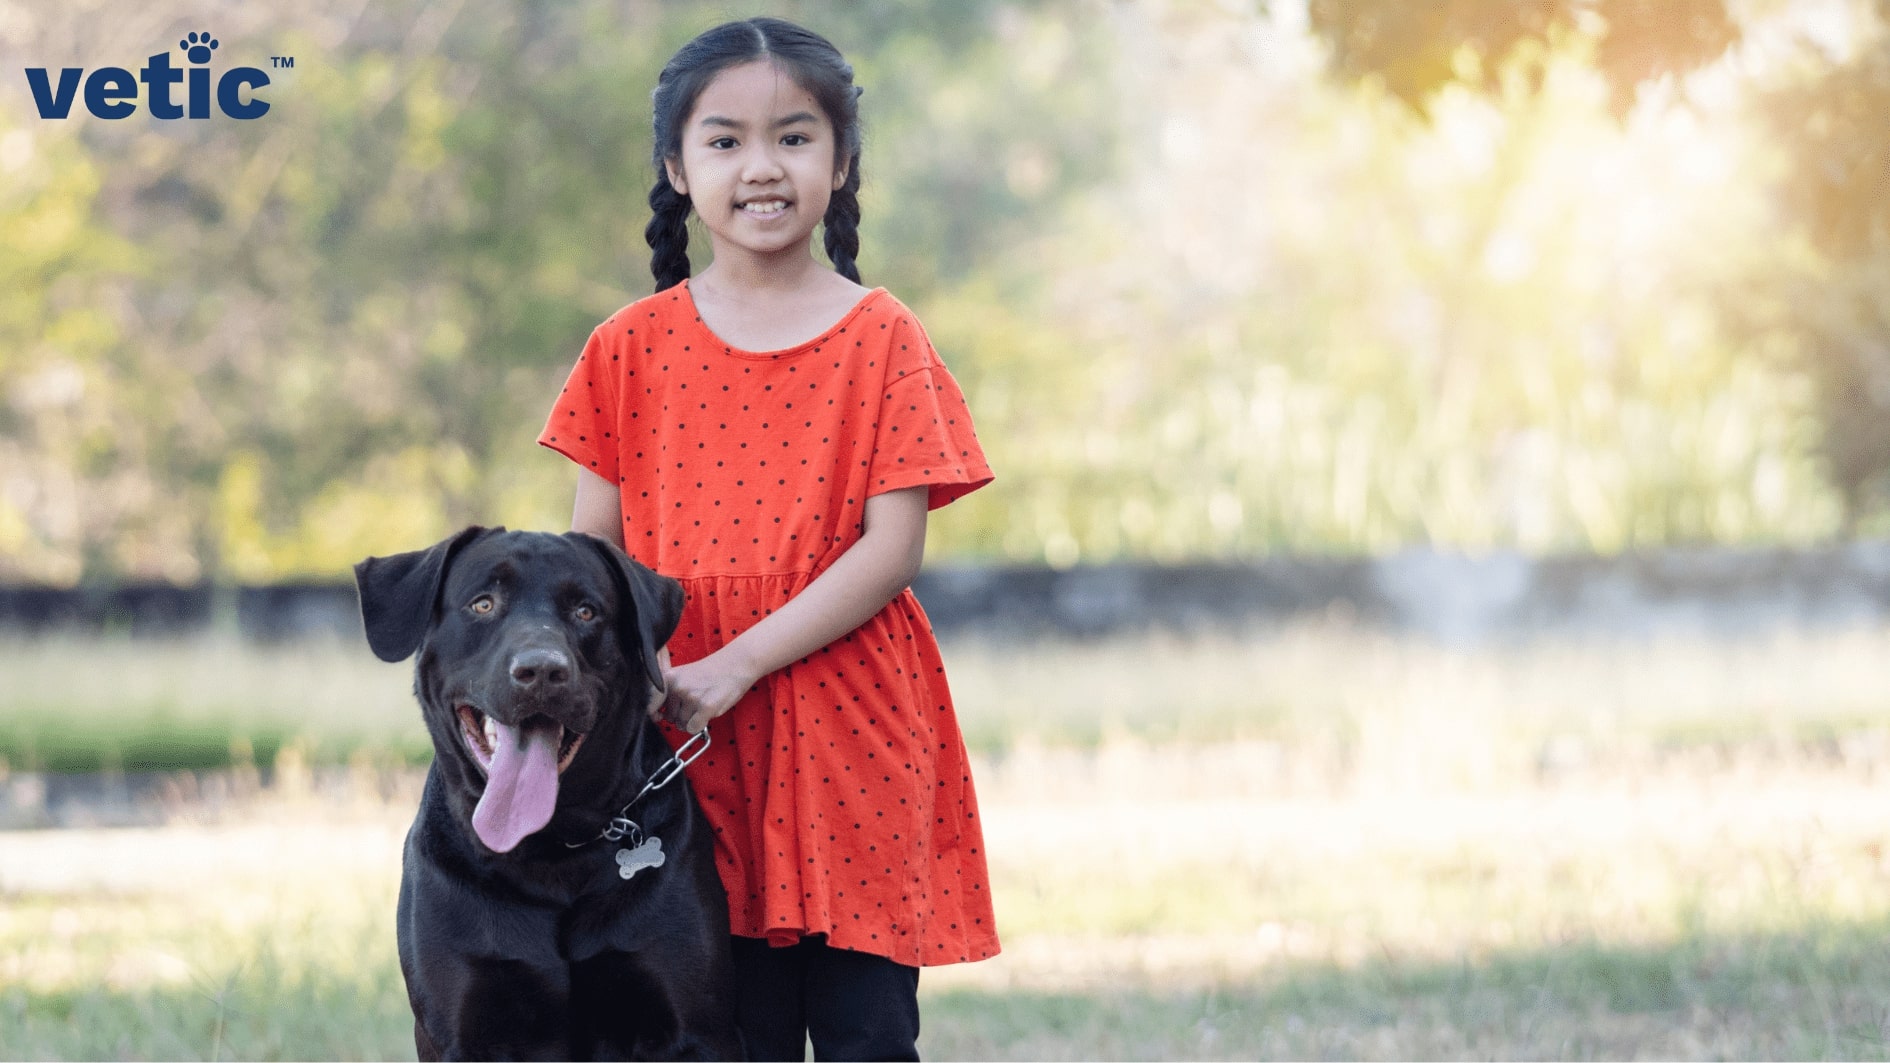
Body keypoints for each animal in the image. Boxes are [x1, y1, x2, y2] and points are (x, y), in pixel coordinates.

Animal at [357, 525, 740, 1051]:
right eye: (483, 604)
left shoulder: (695, 1025)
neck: (553, 850)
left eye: (586, 611)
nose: (541, 669)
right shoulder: (457, 1028)